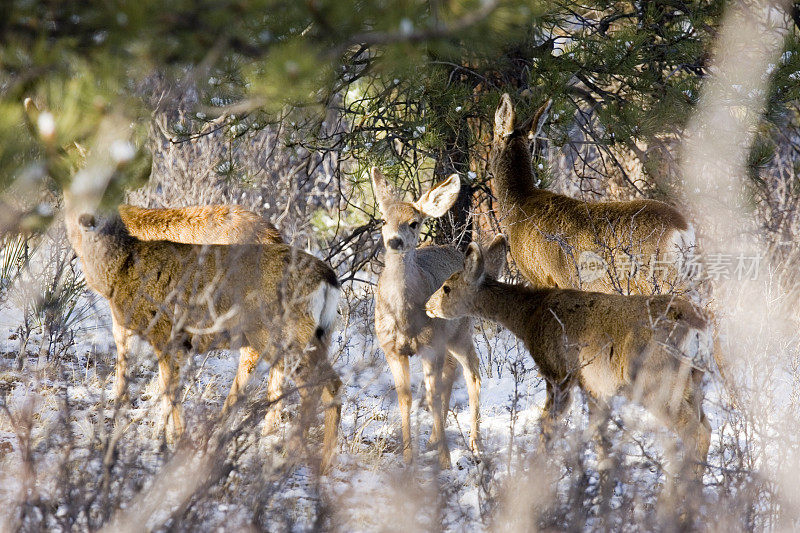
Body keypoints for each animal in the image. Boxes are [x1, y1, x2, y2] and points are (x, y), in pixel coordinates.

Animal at [65, 190, 344, 470]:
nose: (88, 219)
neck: (122, 269)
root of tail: (328, 280)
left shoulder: (162, 332)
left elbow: (162, 385)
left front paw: (172, 439)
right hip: (319, 335)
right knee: (328, 382)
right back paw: (320, 460)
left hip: (278, 333)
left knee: (308, 383)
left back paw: (288, 451)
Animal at [374, 168, 482, 468]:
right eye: (383, 220)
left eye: (413, 223)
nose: (394, 241)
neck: (403, 317)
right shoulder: (391, 349)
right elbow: (406, 398)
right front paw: (408, 456)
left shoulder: (430, 345)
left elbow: (431, 397)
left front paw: (445, 461)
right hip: (446, 341)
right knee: (451, 371)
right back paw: (434, 438)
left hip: (460, 331)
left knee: (473, 373)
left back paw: (475, 444)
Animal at [424, 235, 712, 480]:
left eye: (446, 287)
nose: (427, 305)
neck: (528, 317)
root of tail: (698, 325)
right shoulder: (592, 383)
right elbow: (599, 436)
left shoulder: (558, 371)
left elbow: (547, 425)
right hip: (692, 379)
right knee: (705, 426)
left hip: (654, 378)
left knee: (692, 431)